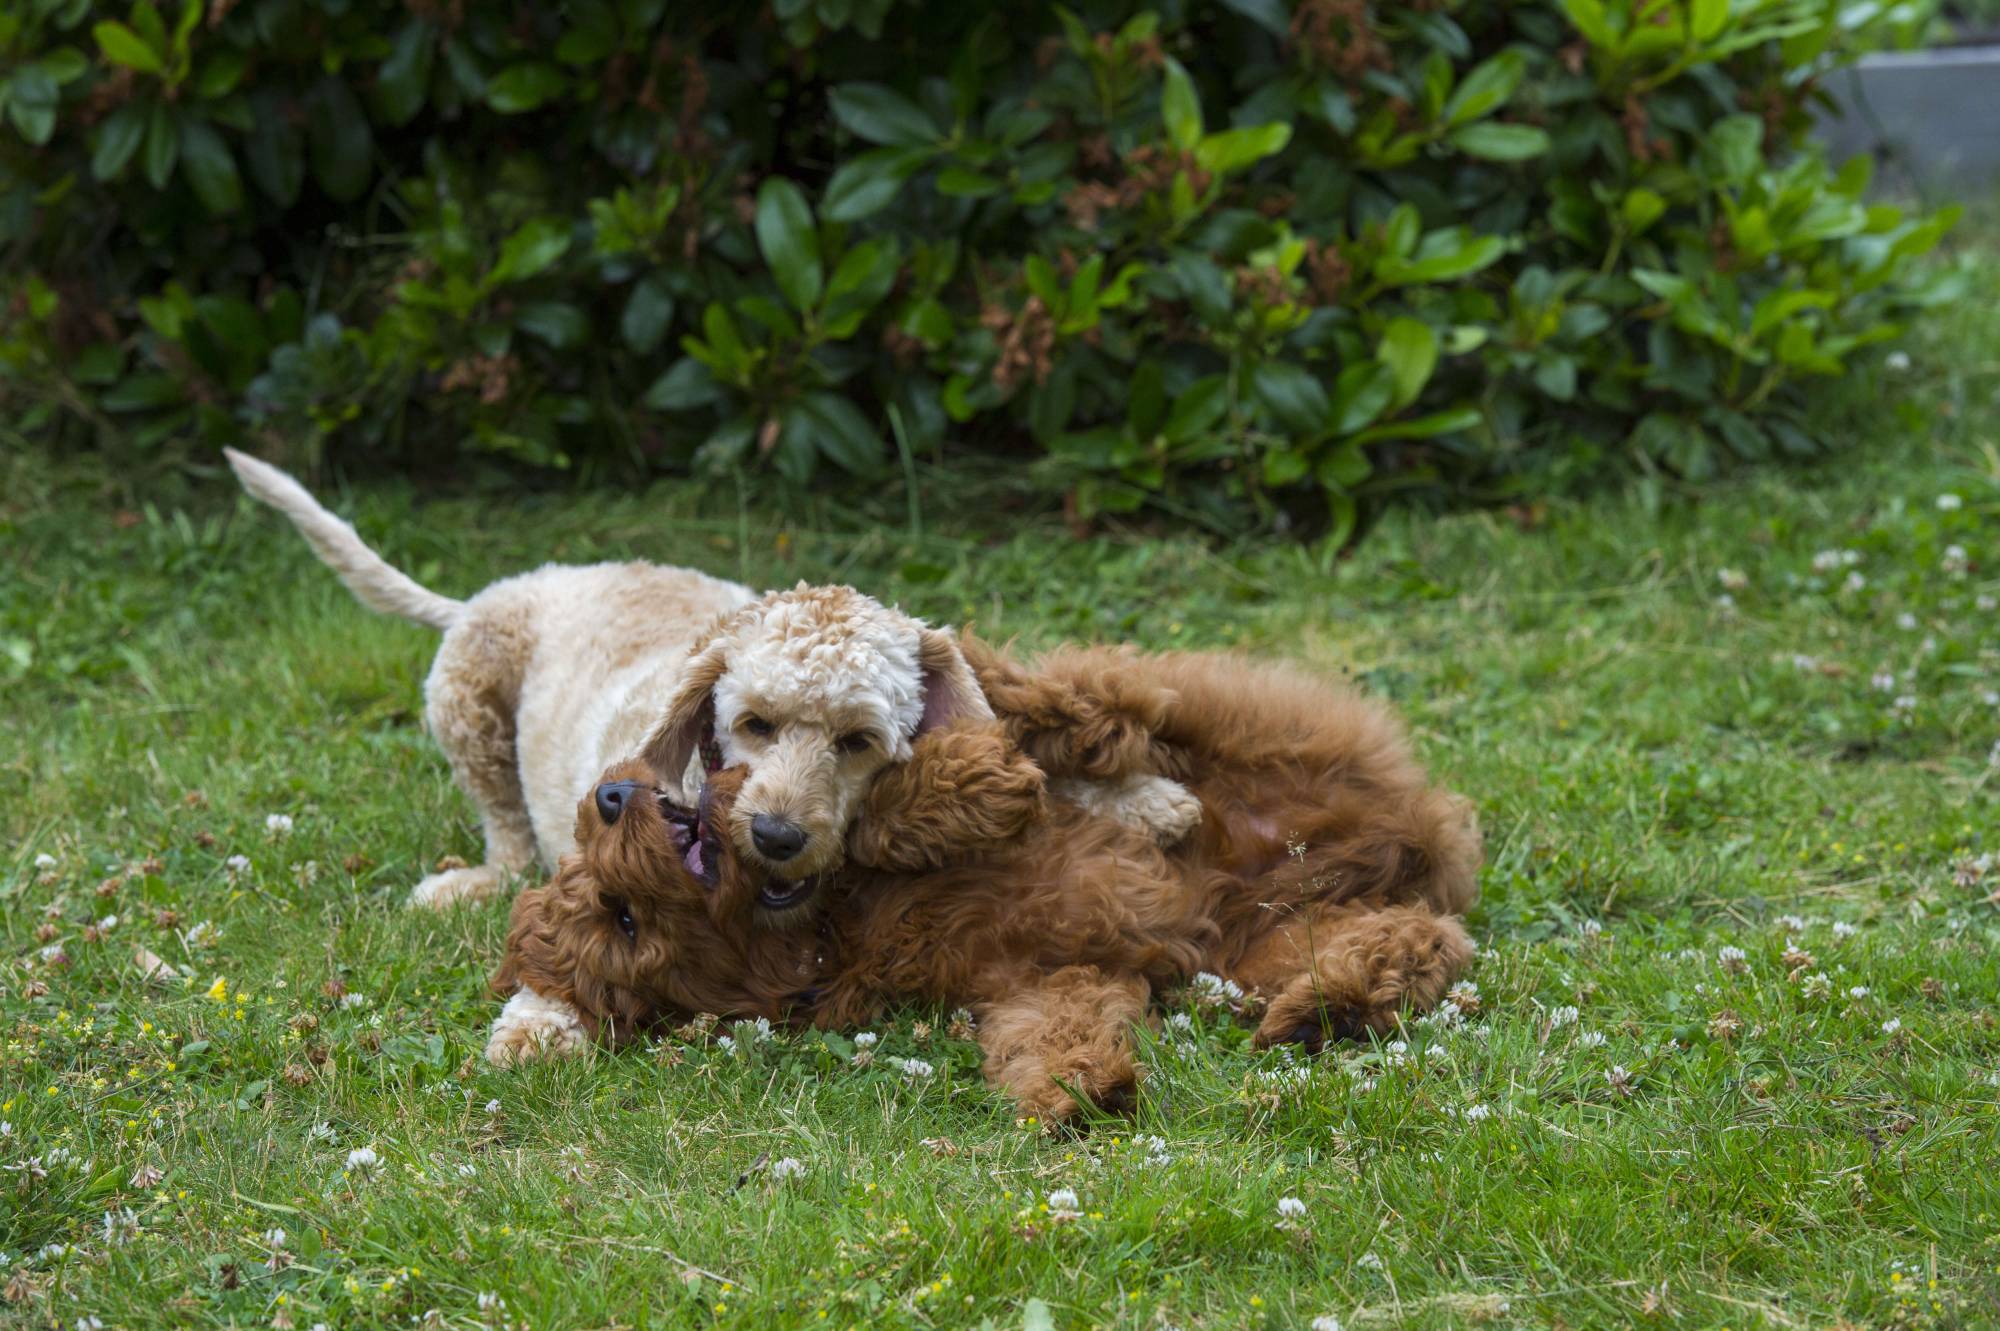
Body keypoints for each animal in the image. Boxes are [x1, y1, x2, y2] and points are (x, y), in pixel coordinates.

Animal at [224, 449, 997, 908]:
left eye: (860, 741)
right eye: (753, 723)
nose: (778, 837)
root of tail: (489, 594)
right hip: (467, 704)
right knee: (507, 831)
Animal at [489, 646, 1481, 1120]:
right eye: (622, 918)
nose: (609, 795)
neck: (820, 930)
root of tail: (1417, 821)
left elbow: (897, 810)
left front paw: (966, 784)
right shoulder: (1045, 975)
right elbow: (1057, 1023)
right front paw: (1079, 1090)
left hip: (1239, 721)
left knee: (1103, 698)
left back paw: (978, 670)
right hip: (1267, 940)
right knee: (1424, 940)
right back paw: (1329, 1006)